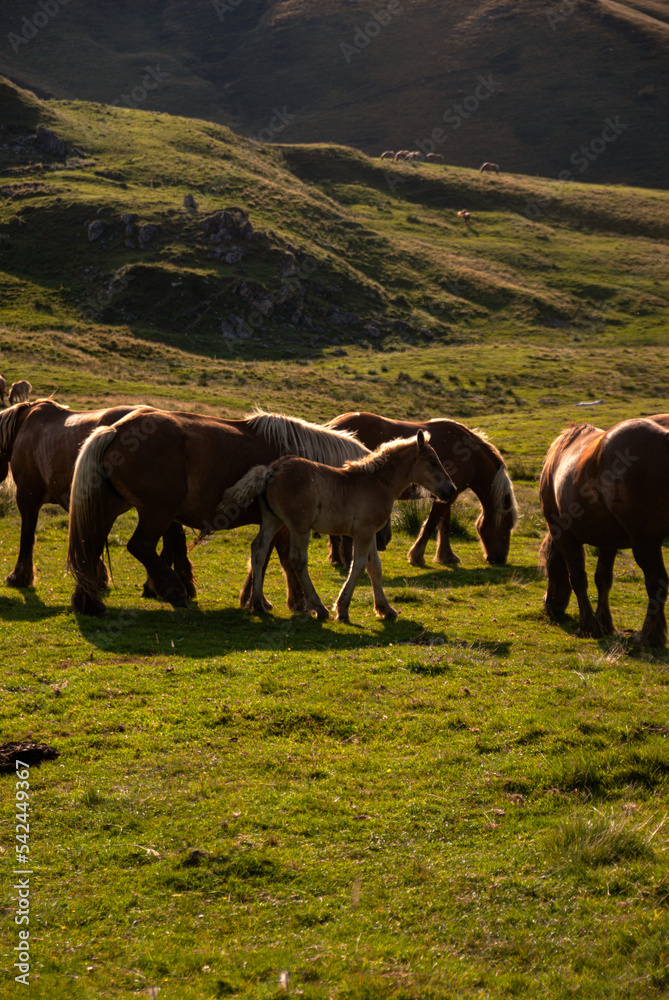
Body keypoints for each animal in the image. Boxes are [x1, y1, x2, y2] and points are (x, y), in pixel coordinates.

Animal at [0, 399, 190, 592]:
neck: (24, 425)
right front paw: (98, 577)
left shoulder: (27, 496)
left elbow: (27, 536)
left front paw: (19, 577)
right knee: (175, 539)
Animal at [66, 408, 370, 615]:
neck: (312, 468)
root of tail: (115, 431)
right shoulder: (288, 524)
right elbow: (283, 558)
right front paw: (297, 602)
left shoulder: (274, 523)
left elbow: (263, 557)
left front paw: (253, 598)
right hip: (157, 512)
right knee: (139, 546)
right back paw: (174, 591)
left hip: (111, 508)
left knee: (90, 545)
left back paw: (88, 602)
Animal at [222, 430, 456, 623]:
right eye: (433, 462)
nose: (451, 489)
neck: (378, 482)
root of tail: (271, 470)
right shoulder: (363, 532)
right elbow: (359, 565)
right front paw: (342, 609)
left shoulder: (369, 533)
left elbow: (375, 567)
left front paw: (385, 609)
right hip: (299, 527)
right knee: (297, 560)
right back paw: (319, 608)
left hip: (272, 520)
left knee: (259, 550)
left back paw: (258, 604)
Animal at [326, 412, 518, 567]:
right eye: (507, 525)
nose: (500, 558)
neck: (472, 457)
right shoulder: (446, 495)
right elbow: (432, 524)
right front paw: (417, 556)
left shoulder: (448, 494)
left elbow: (444, 525)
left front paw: (446, 556)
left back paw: (336, 557)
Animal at [538, 417, 669, 647]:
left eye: (547, 568)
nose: (549, 605)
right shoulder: (609, 542)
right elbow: (603, 579)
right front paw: (604, 622)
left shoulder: (565, 535)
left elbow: (578, 578)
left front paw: (588, 625)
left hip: (645, 542)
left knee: (656, 581)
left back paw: (648, 636)